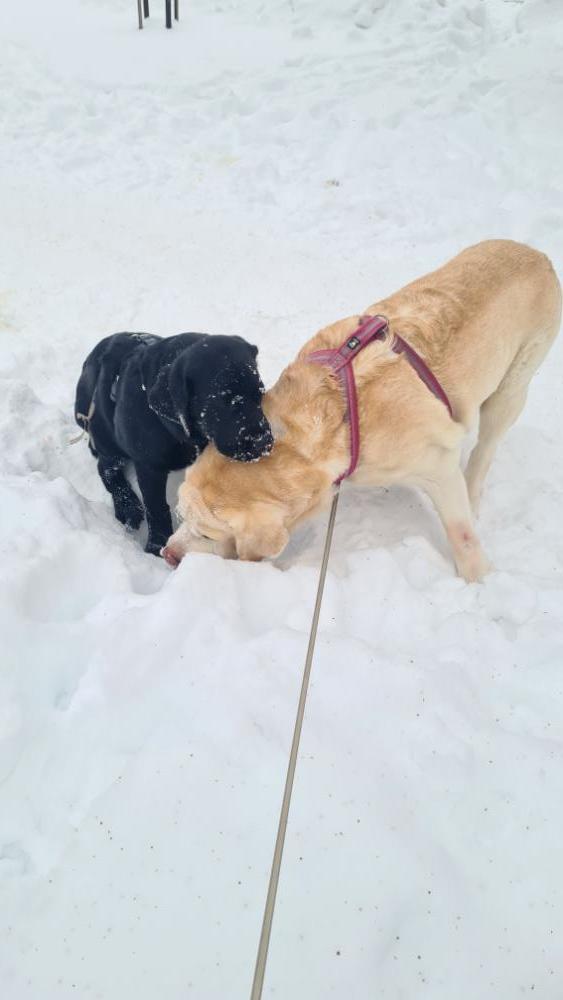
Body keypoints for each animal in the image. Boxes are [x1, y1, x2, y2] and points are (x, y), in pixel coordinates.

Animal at [74, 332, 273, 555]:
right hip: (104, 433)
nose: (264, 442)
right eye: (223, 400)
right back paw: (128, 507)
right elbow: (156, 508)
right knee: (106, 468)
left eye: (260, 393)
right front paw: (156, 547)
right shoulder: (149, 466)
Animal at [163, 241, 561, 581]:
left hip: (512, 386)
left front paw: (478, 580)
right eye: (180, 516)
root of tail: (537, 254)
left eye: (206, 534)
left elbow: (461, 534)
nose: (168, 554)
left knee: (486, 448)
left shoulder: (438, 467)